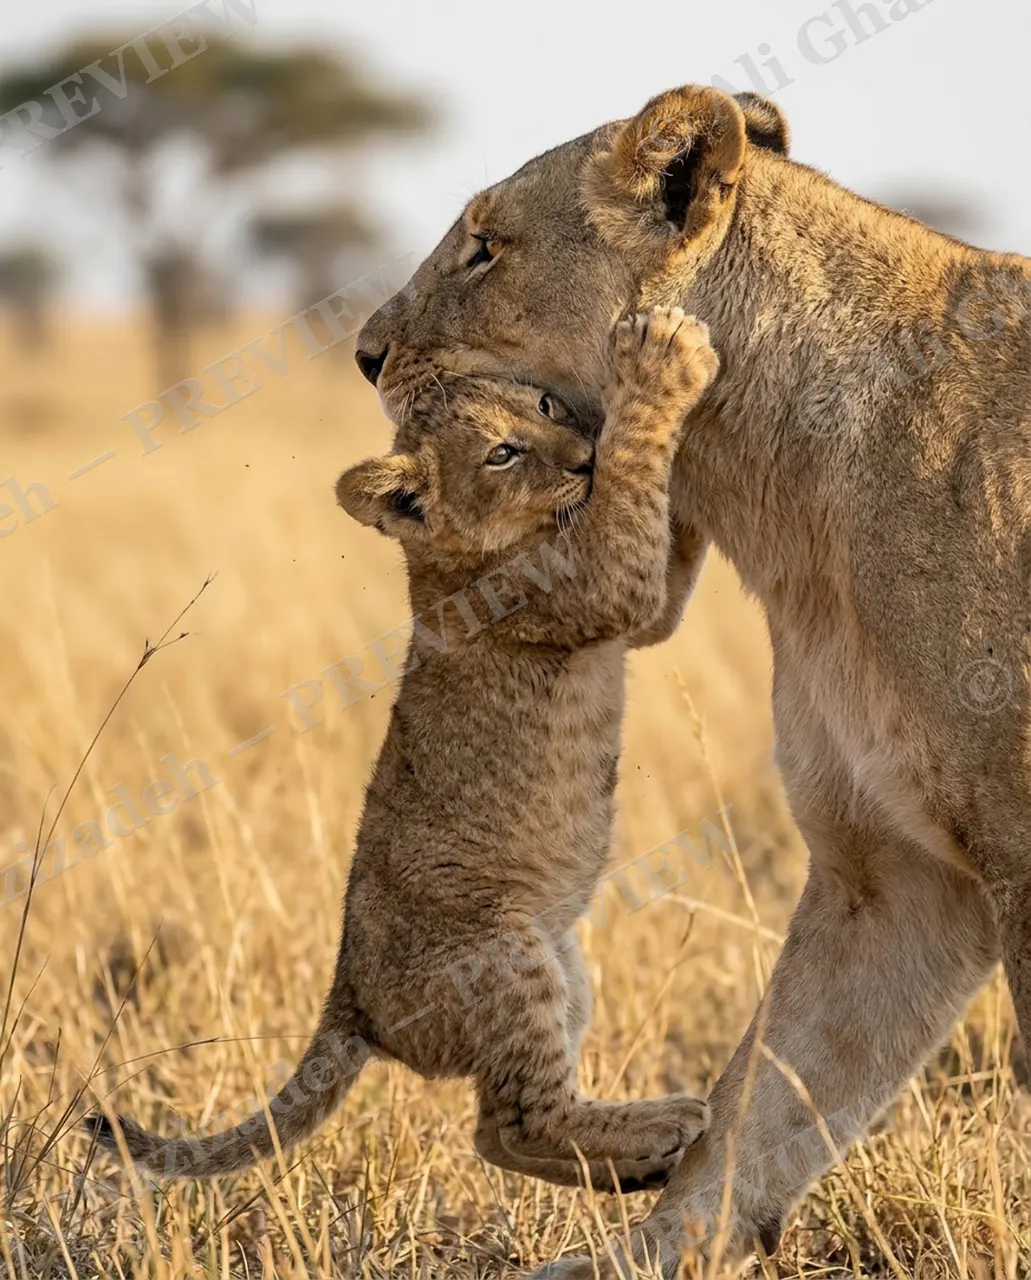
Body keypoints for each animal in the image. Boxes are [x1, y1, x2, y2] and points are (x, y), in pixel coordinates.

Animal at [88, 309, 717, 1194]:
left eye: (543, 406)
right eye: (501, 454)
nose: (579, 456)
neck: (448, 555)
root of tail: (346, 998)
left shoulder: (630, 604)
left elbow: (667, 560)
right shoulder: (594, 584)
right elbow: (633, 494)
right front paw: (661, 361)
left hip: (562, 960)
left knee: (497, 1133)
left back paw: (639, 1164)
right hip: (506, 954)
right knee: (520, 1120)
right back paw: (664, 1126)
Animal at [355, 86, 1031, 1274]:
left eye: (485, 245)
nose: (363, 352)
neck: (788, 489)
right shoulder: (891, 868)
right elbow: (768, 1094)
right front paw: (649, 1241)